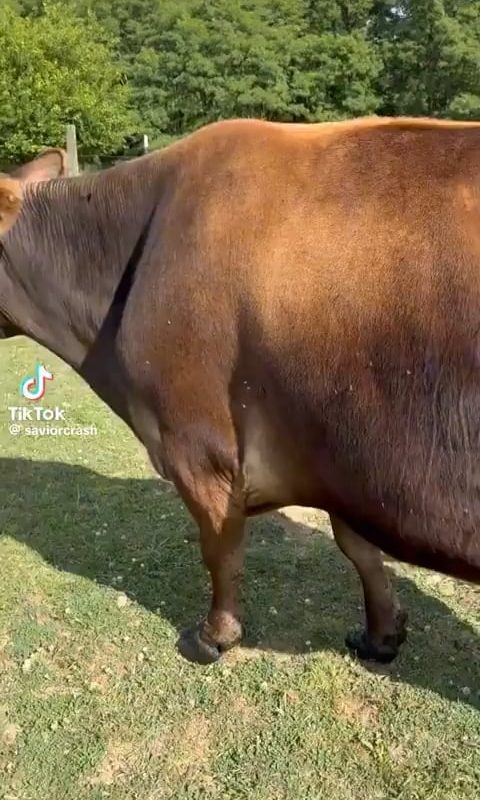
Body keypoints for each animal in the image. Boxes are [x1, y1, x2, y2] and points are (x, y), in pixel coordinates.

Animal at [1, 117, 479, 666]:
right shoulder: (339, 457)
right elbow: (357, 547)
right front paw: (382, 634)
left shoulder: (195, 442)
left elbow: (219, 548)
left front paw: (215, 635)